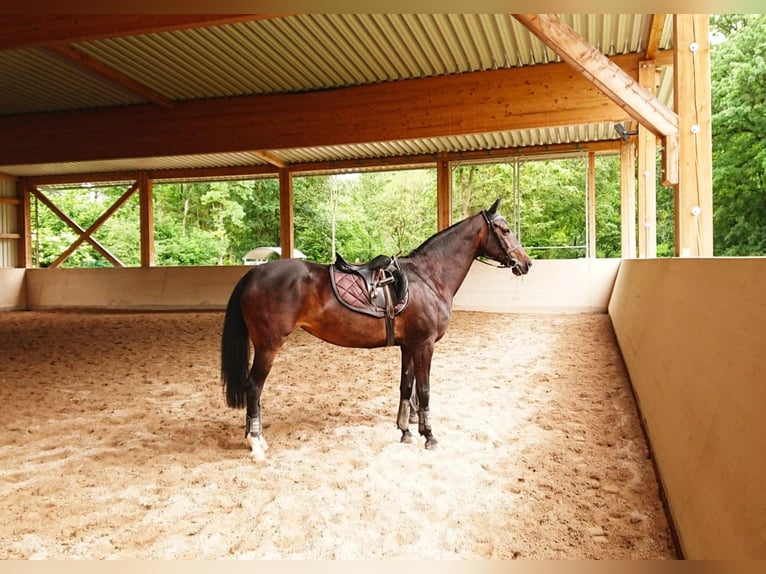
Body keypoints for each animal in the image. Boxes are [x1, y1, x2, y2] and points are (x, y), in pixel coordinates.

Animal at [220, 200, 536, 462]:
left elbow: (406, 387)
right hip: (268, 345)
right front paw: (429, 436)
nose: (526, 263)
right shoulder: (425, 344)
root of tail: (253, 274)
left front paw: (405, 431)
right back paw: (256, 443)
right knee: (254, 387)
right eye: (505, 230)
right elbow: (424, 390)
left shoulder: (409, 345)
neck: (429, 277)